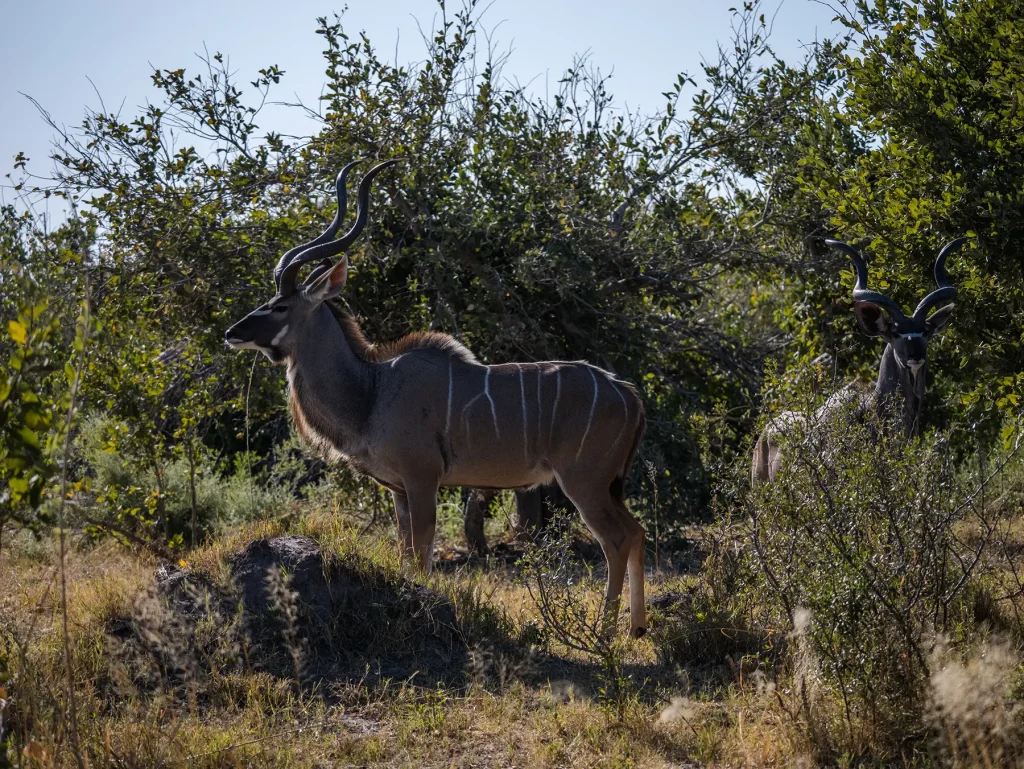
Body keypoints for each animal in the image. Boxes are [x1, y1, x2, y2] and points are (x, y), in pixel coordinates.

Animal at [228, 160, 647, 638]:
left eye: (279, 306)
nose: (232, 333)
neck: (372, 392)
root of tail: (628, 395)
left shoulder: (423, 478)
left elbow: (421, 558)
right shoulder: (398, 490)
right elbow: (405, 554)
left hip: (584, 481)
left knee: (617, 540)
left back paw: (606, 631)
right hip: (606, 485)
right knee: (637, 533)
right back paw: (637, 628)